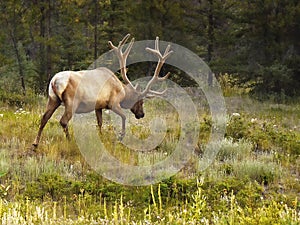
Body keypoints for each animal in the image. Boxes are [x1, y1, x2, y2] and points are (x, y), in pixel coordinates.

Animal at [31, 33, 172, 149]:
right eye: (141, 102)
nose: (141, 114)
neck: (122, 90)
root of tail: (55, 81)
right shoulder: (113, 103)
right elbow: (124, 116)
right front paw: (121, 136)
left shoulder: (98, 106)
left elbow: (99, 123)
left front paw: (101, 137)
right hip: (71, 102)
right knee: (63, 121)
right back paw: (70, 141)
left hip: (52, 99)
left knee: (44, 118)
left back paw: (35, 143)